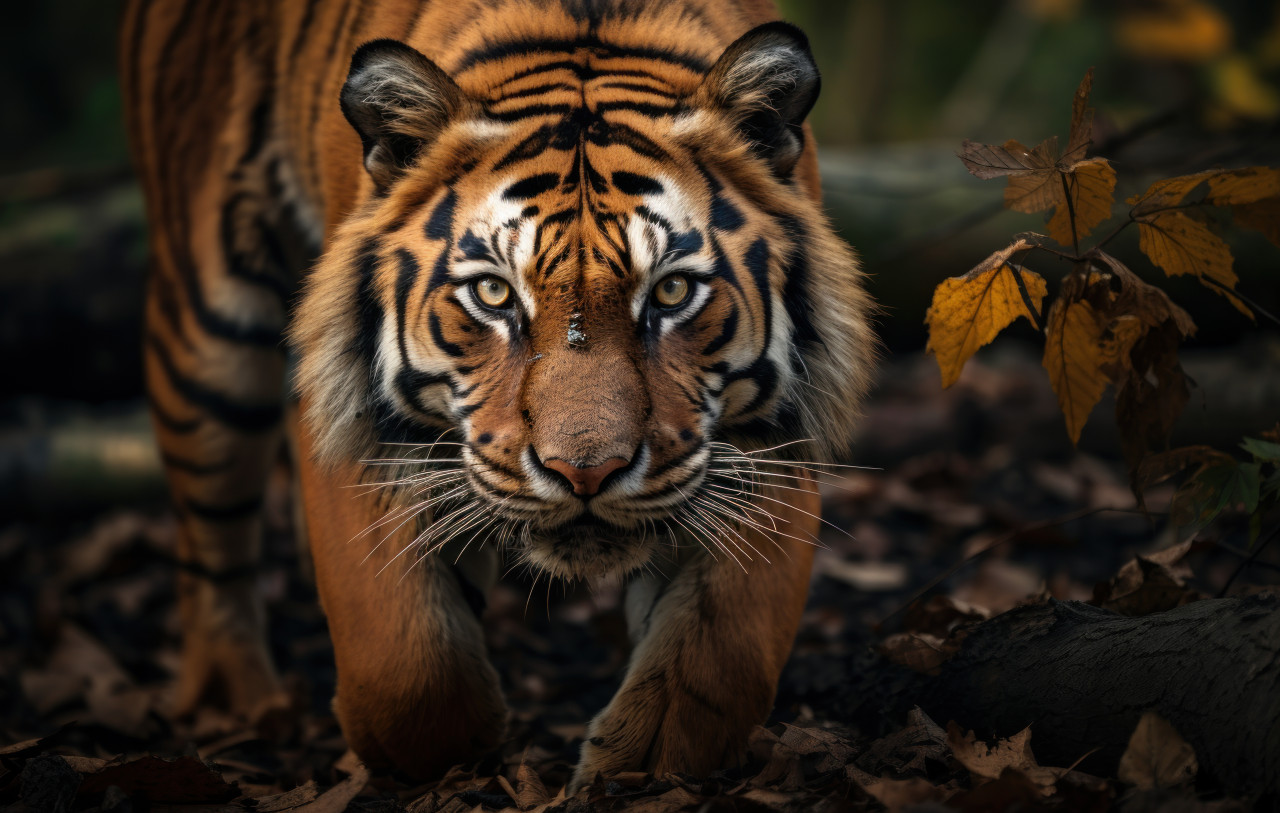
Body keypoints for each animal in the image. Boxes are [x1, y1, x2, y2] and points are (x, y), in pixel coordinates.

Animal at [121, 0, 875, 788]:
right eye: (493, 293)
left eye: (671, 292)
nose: (585, 473)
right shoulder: (354, 427)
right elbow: (402, 670)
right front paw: (473, 745)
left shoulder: (777, 431)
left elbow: (724, 647)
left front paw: (638, 761)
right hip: (208, 322)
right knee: (211, 541)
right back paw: (235, 704)